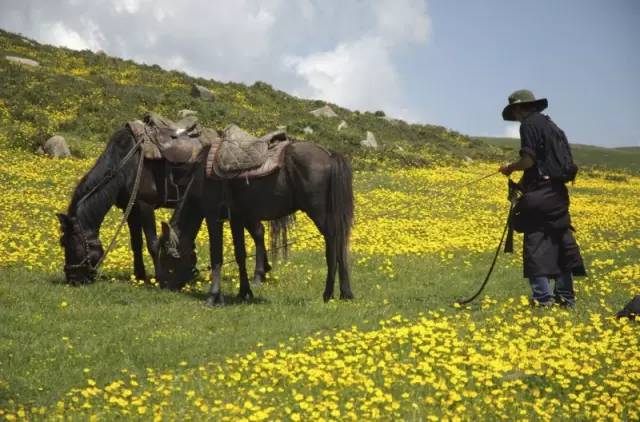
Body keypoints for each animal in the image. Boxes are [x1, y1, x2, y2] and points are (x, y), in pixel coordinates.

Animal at [55, 124, 272, 284]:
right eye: (62, 243)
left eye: (72, 245)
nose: (73, 279)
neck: (126, 163)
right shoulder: (131, 209)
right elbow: (136, 243)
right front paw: (139, 275)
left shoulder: (145, 205)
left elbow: (151, 243)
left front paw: (158, 277)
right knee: (259, 232)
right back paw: (265, 272)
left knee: (258, 232)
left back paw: (259, 275)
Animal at [155, 140, 356, 304]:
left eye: (165, 257)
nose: (164, 286)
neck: (202, 177)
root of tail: (329, 154)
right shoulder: (237, 219)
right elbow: (240, 255)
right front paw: (244, 292)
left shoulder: (213, 218)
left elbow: (216, 256)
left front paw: (214, 296)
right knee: (340, 244)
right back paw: (345, 293)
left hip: (319, 213)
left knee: (332, 243)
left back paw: (328, 293)